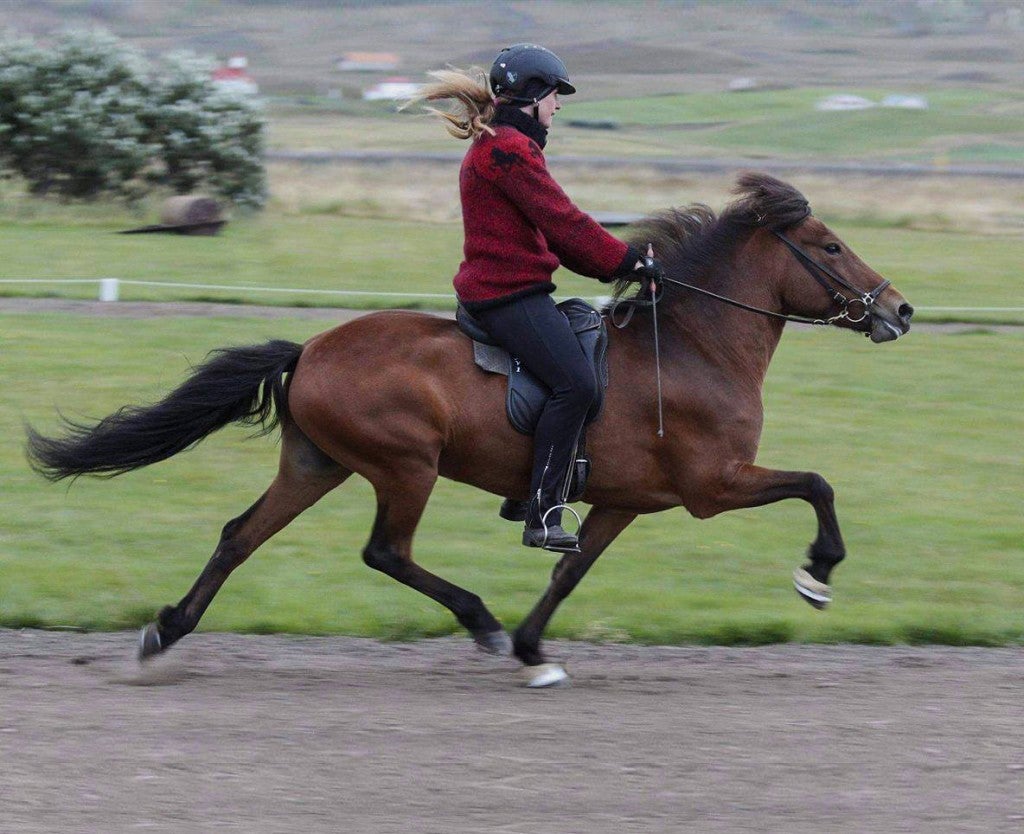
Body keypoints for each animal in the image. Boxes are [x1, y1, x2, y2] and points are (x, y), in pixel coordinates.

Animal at [26, 173, 913, 687]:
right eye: (831, 245)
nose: (901, 311)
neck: (694, 345)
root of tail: (311, 347)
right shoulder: (714, 485)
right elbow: (818, 485)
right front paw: (817, 575)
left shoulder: (623, 502)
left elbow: (570, 572)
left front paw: (532, 648)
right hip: (404, 466)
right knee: (385, 552)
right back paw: (478, 622)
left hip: (315, 465)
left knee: (239, 536)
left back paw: (165, 633)